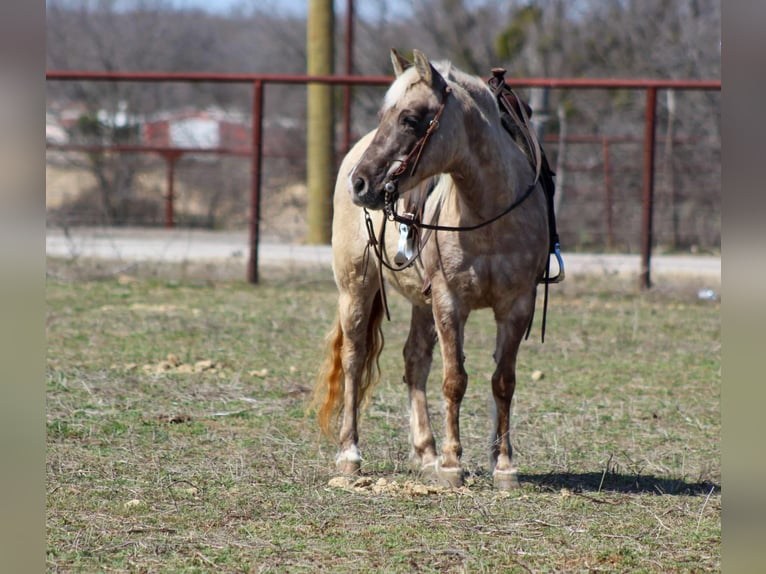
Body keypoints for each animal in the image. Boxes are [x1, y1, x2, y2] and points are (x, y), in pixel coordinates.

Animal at [314, 49, 552, 490]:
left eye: (410, 119)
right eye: (384, 114)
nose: (361, 183)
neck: (488, 213)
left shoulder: (516, 305)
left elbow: (503, 382)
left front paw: (503, 466)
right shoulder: (449, 300)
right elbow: (454, 380)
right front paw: (452, 463)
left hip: (421, 302)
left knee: (415, 360)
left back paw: (425, 452)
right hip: (356, 288)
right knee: (355, 360)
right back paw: (350, 454)